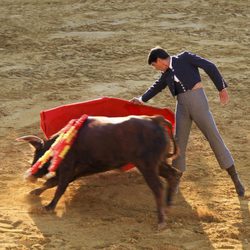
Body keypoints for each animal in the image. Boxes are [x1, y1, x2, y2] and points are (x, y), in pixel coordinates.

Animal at [17, 115, 182, 229]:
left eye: (38, 155)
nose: (30, 176)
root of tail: (155, 119)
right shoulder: (74, 172)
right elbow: (51, 183)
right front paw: (34, 192)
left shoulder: (67, 169)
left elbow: (59, 187)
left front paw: (49, 207)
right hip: (158, 164)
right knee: (174, 174)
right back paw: (168, 205)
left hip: (147, 166)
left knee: (158, 187)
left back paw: (161, 221)